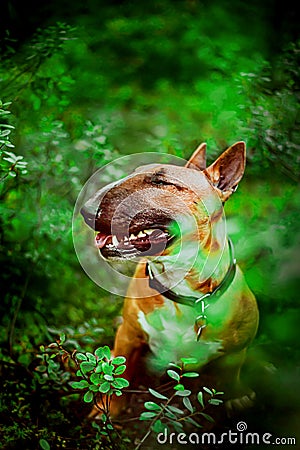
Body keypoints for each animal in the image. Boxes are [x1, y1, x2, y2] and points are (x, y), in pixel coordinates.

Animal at [81, 142, 258, 416]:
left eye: (162, 182)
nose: (86, 210)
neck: (183, 289)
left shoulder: (236, 351)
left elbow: (231, 373)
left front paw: (237, 396)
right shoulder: (129, 334)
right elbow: (120, 374)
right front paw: (105, 411)